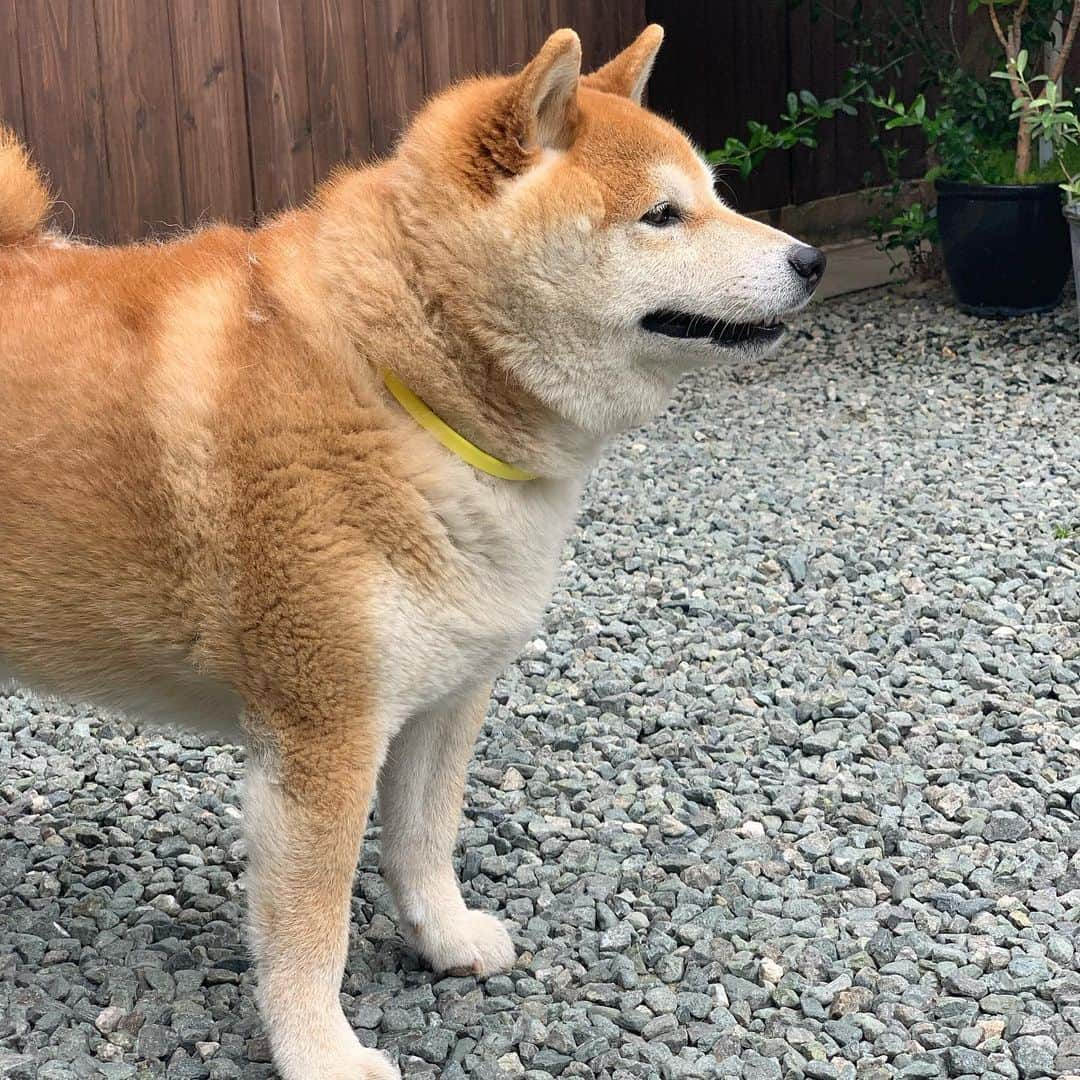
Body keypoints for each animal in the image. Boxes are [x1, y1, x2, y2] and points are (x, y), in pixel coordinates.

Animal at [0, 25, 825, 1080]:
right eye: (661, 215)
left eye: (714, 196)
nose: (810, 259)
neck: (397, 380)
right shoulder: (323, 733)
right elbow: (311, 927)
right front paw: (323, 1053)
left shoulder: (445, 694)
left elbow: (425, 842)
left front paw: (444, 937)